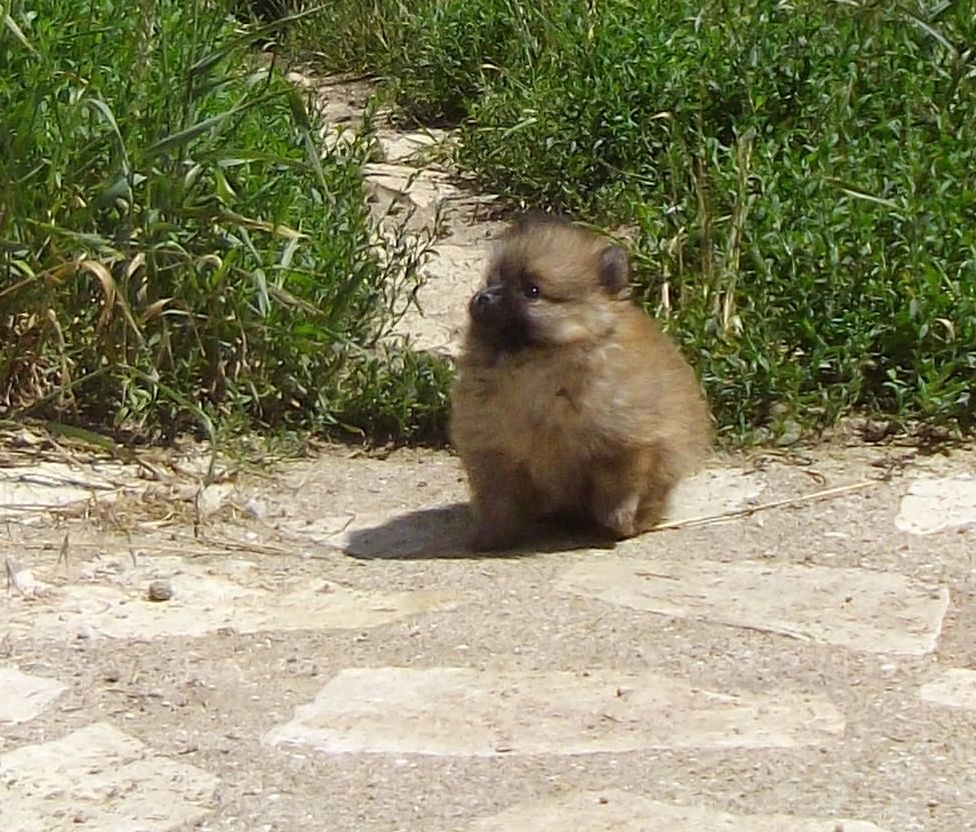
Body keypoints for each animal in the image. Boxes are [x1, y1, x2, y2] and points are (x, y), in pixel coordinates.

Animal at [450, 214, 708, 552]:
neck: (535, 366)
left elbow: (619, 493)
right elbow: (497, 500)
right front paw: (492, 536)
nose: (482, 297)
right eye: (492, 280)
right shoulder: (492, 450)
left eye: (532, 290)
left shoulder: (625, 445)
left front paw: (620, 524)